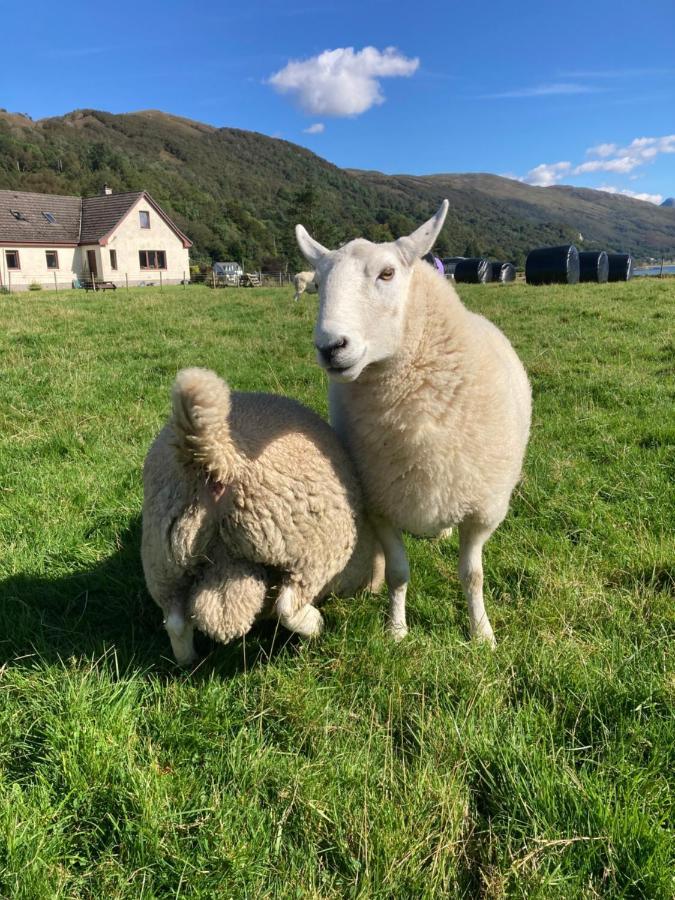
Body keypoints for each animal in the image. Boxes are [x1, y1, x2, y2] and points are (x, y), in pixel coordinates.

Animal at [141, 364, 386, 660]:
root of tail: (221, 460)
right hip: (310, 550)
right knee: (288, 607)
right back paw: (315, 626)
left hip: (163, 563)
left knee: (175, 622)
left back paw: (188, 662)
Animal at [296, 200, 532, 644]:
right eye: (317, 282)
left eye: (387, 273)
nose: (330, 347)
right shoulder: (380, 505)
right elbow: (398, 573)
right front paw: (396, 630)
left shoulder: (482, 511)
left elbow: (472, 575)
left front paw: (482, 633)